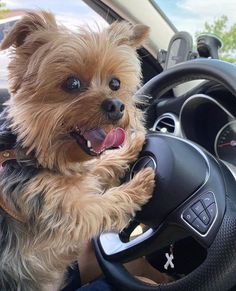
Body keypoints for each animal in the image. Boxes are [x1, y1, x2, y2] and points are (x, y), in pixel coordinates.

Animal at [0, 12, 155, 291]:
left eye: (115, 83)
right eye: (72, 83)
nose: (117, 106)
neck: (30, 153)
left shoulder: (77, 178)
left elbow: (101, 165)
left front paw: (132, 144)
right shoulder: (68, 210)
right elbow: (107, 204)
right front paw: (140, 184)